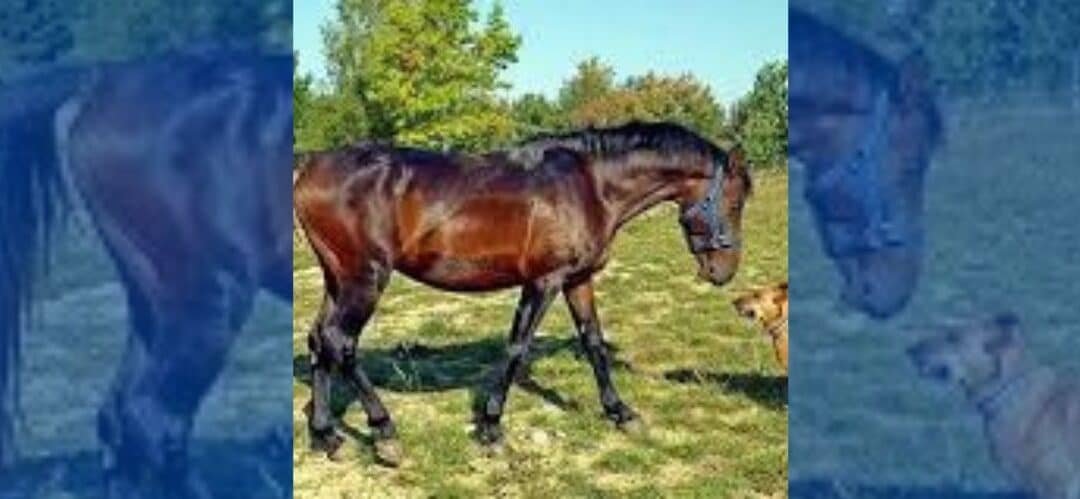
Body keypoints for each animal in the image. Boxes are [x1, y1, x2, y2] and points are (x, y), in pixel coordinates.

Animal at [294, 121, 753, 465]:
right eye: (734, 202)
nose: (723, 272)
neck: (591, 184)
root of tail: (310, 166)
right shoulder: (543, 281)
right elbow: (517, 346)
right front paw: (492, 427)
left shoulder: (577, 280)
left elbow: (593, 343)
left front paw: (621, 413)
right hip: (365, 278)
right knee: (341, 342)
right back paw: (385, 432)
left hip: (338, 278)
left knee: (320, 341)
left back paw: (325, 436)